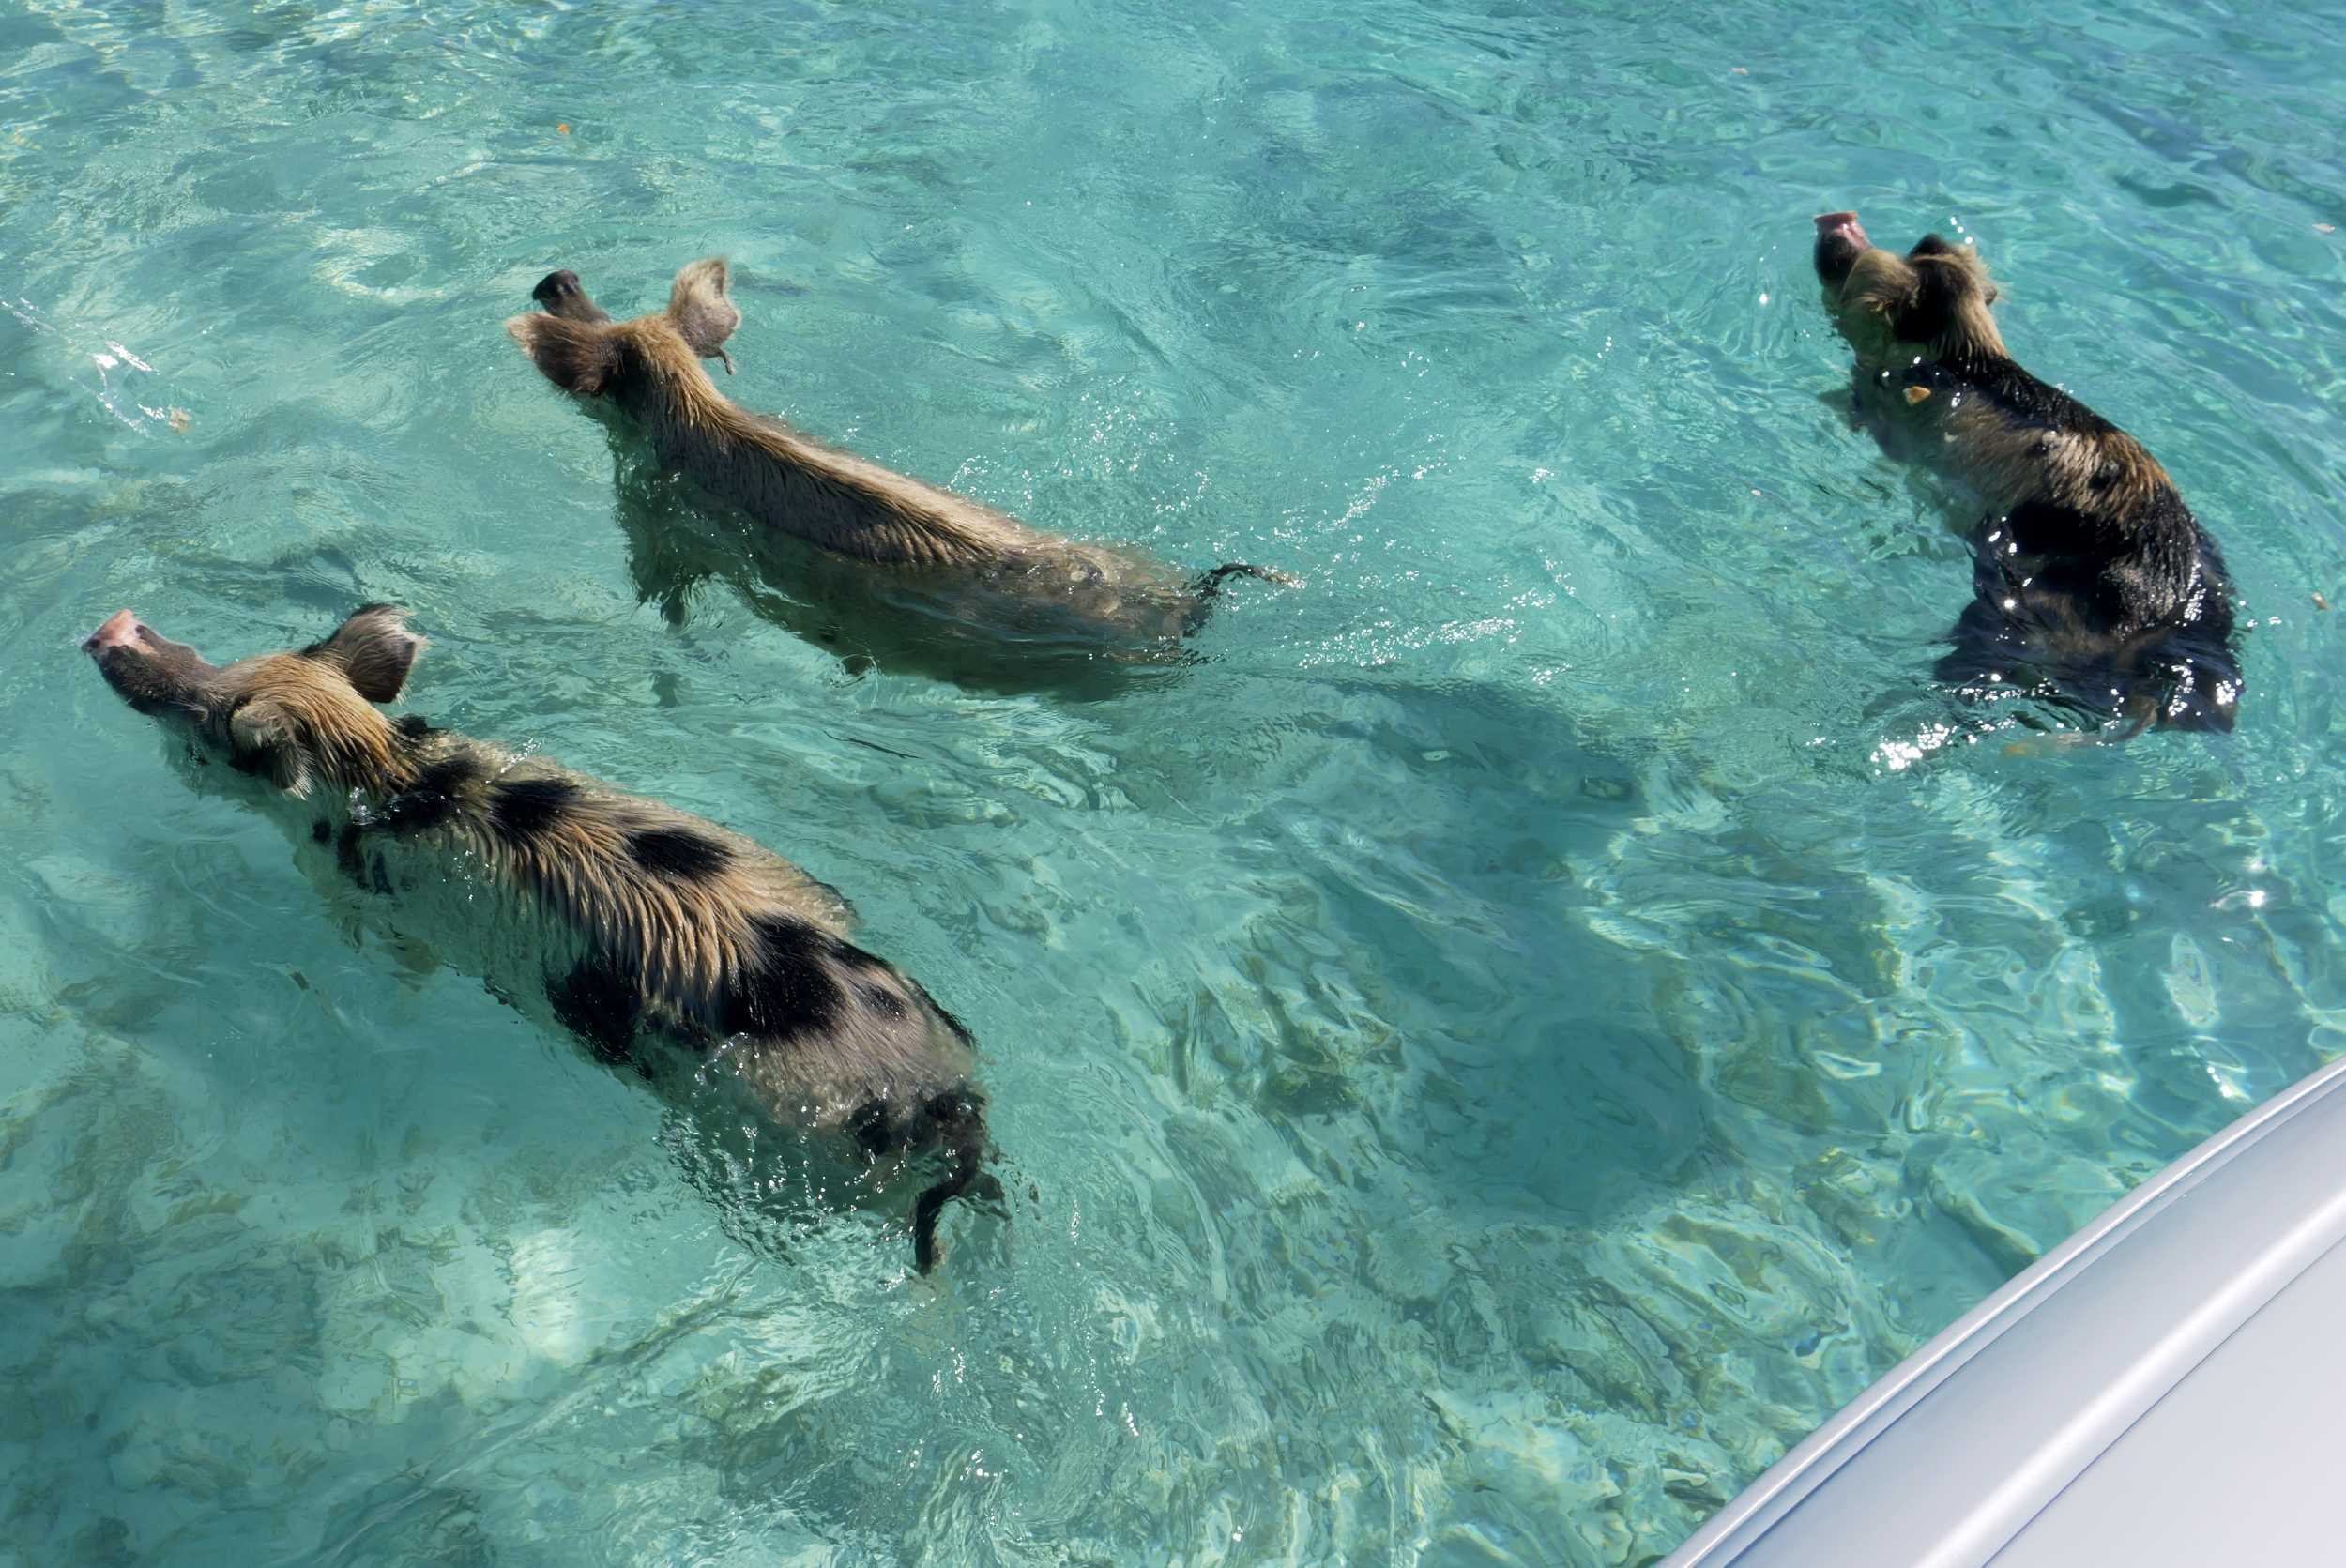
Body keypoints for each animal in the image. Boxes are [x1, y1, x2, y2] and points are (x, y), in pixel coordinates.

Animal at [83, 603, 988, 1272]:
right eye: (235, 660)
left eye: (206, 729)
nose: (113, 630)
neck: (378, 768)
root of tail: (945, 1103)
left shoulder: (366, 897)